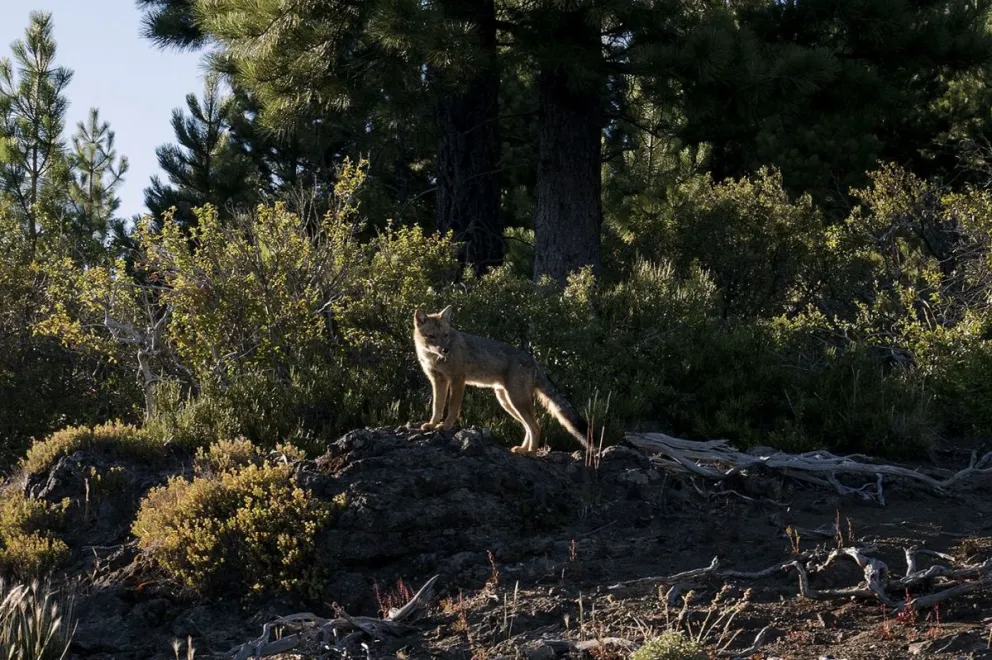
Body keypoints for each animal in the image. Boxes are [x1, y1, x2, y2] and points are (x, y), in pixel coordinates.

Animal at [413, 305, 589, 455]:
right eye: (432, 336)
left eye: (445, 335)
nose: (445, 350)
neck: (433, 358)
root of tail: (534, 360)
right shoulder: (438, 380)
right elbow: (437, 407)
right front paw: (432, 424)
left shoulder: (457, 380)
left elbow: (452, 408)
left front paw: (445, 426)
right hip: (508, 402)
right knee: (529, 427)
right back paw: (523, 449)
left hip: (516, 401)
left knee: (536, 426)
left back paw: (531, 453)